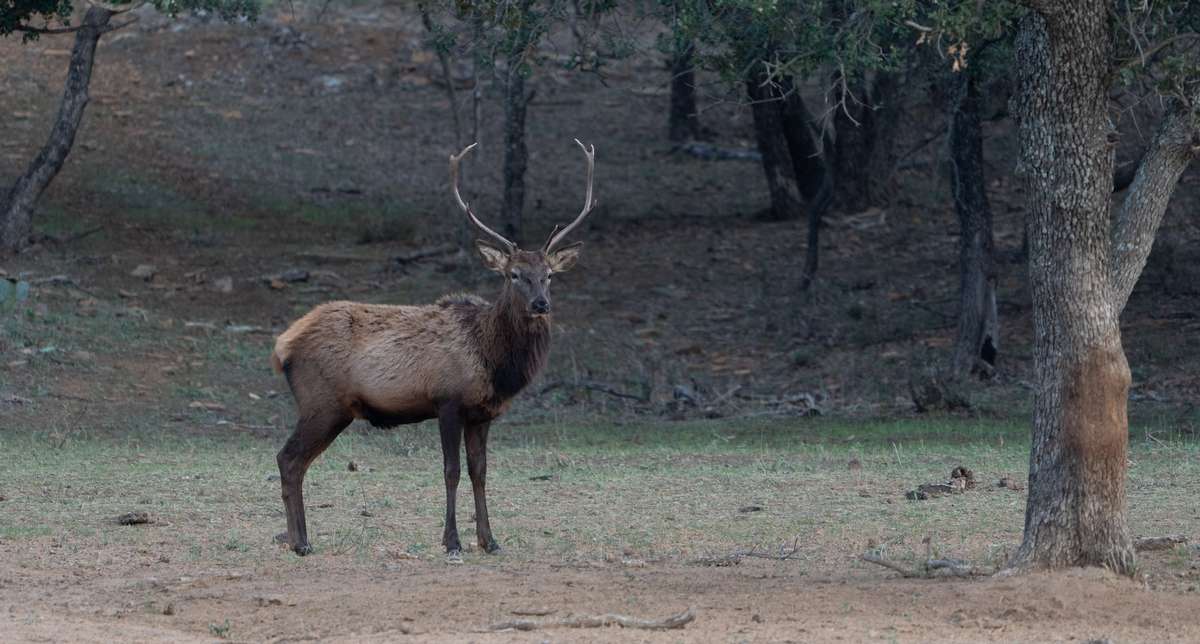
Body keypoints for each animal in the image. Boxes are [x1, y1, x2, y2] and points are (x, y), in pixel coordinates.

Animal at [267, 139, 595, 556]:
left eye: (549, 275)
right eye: (513, 274)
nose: (541, 304)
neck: (494, 363)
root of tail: (282, 346)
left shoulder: (483, 414)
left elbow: (479, 472)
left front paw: (489, 540)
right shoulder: (447, 400)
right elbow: (450, 471)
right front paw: (451, 541)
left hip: (328, 409)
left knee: (295, 461)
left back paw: (298, 538)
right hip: (322, 403)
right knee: (288, 458)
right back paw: (301, 542)